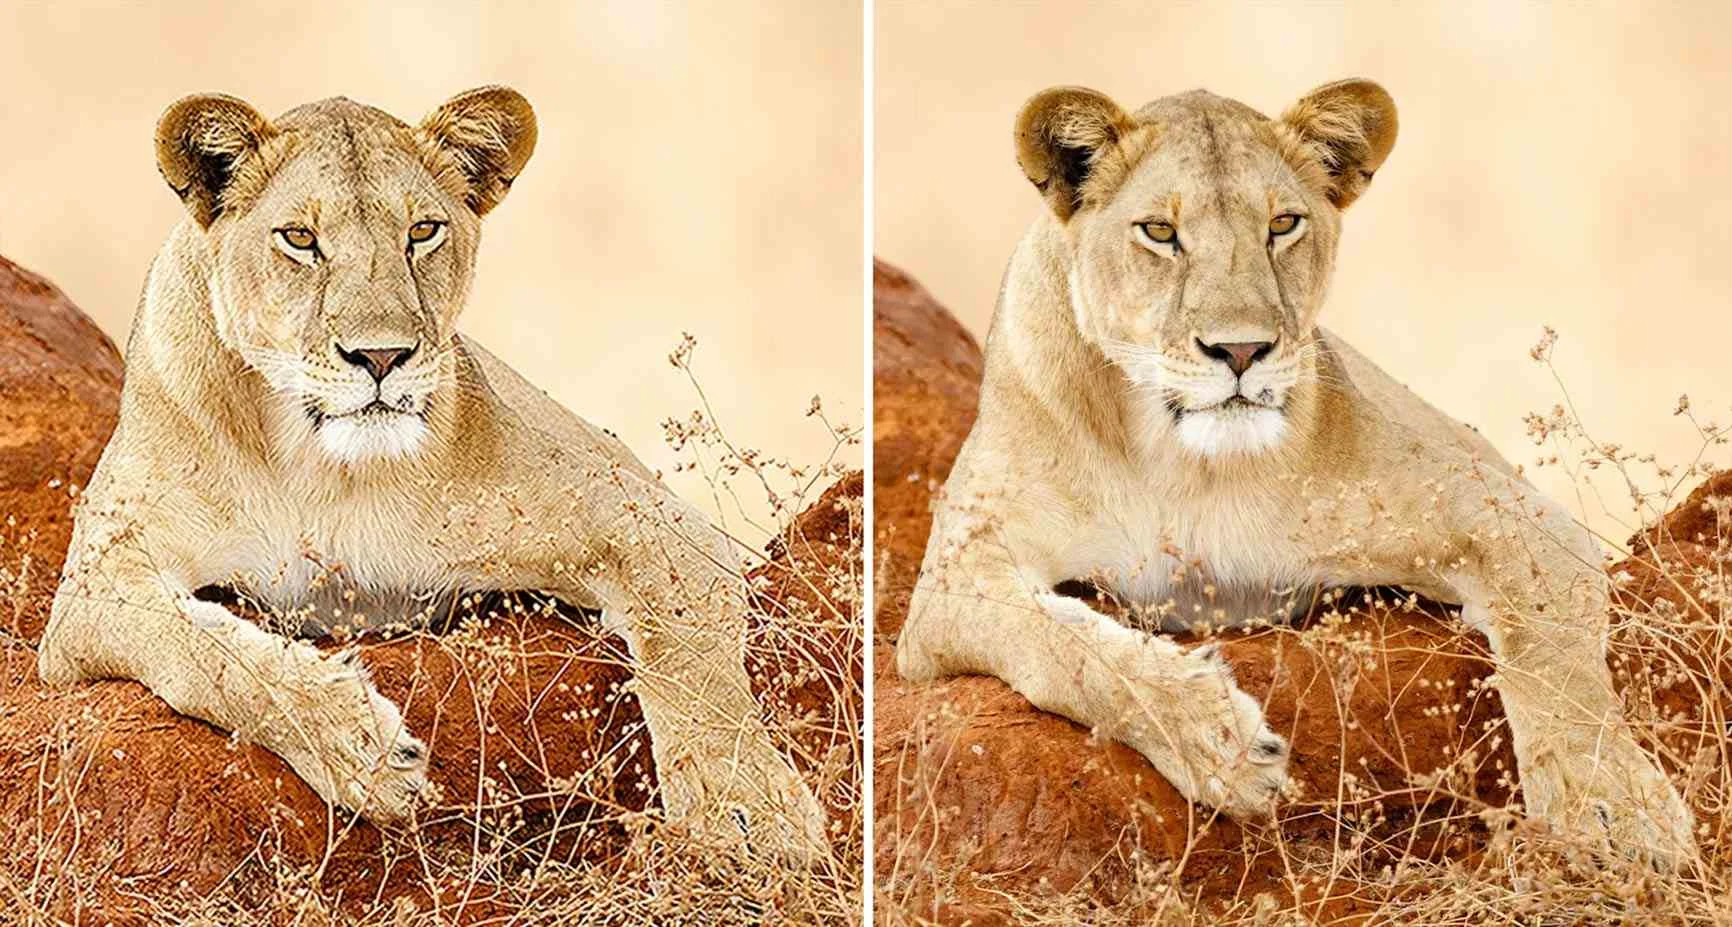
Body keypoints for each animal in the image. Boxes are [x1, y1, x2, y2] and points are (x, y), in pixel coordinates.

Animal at [36, 87, 828, 860]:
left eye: (422, 231)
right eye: (300, 239)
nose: (382, 356)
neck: (313, 463)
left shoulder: (648, 517)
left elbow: (690, 657)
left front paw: (748, 807)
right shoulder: (96, 585)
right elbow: (211, 654)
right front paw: (359, 747)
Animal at [896, 79, 1698, 869]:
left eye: (1283, 224)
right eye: (1159, 232)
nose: (1241, 350)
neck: (1177, 459)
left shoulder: (1507, 510)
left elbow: (1554, 655)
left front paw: (1613, 805)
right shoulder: (956, 576)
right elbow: (1070, 650)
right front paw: (1218, 741)